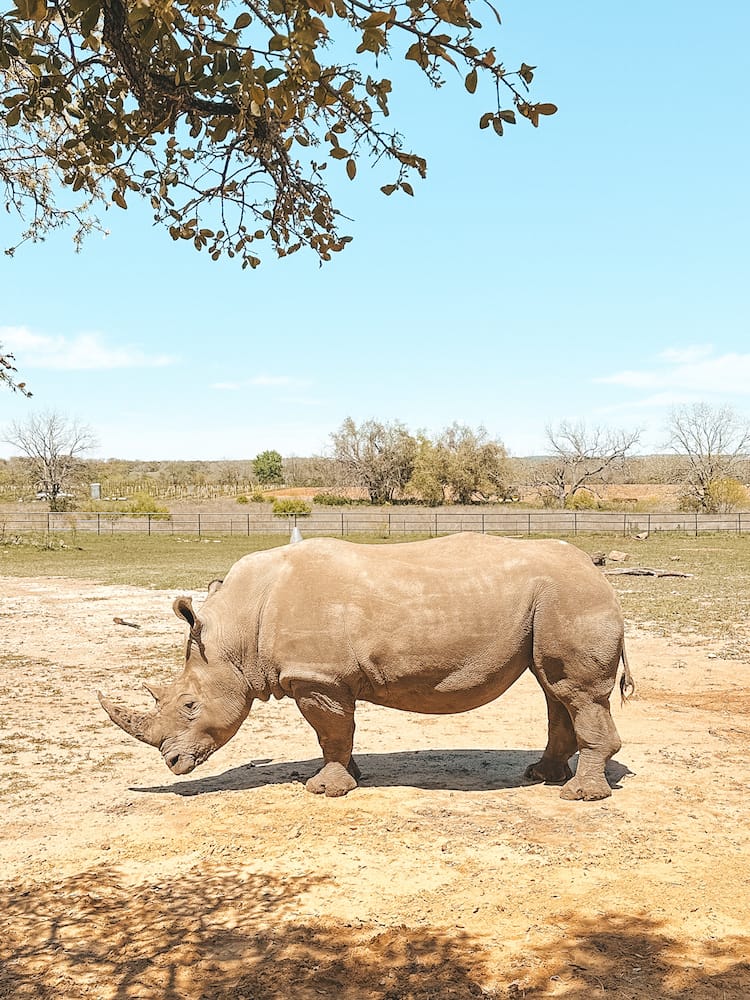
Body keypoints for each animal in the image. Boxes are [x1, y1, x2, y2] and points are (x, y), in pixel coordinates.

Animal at [99, 533, 634, 801]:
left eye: (190, 705)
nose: (172, 763)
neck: (237, 633)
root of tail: (600, 574)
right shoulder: (325, 679)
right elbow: (337, 733)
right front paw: (348, 774)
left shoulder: (317, 677)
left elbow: (331, 731)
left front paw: (324, 790)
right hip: (555, 601)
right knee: (554, 688)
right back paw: (541, 777)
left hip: (571, 598)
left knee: (576, 692)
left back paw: (578, 797)